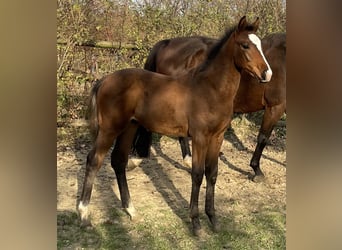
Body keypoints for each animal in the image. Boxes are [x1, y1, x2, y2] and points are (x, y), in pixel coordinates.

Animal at [134, 31, 286, 182]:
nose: (267, 74)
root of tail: (166, 43)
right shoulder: (275, 107)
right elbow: (263, 138)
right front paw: (257, 170)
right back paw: (188, 160)